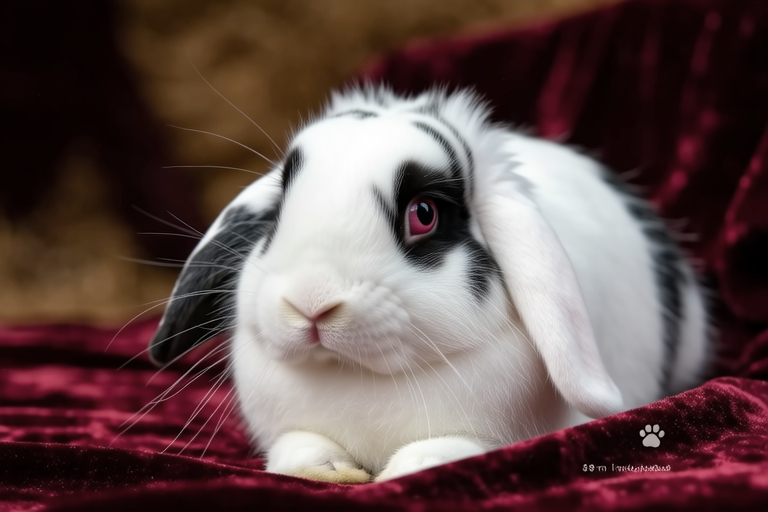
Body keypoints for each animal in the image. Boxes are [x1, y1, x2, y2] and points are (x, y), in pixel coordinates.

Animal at [147, 86, 711, 483]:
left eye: (423, 214)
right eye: (280, 209)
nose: (311, 302)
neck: (357, 376)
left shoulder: (484, 434)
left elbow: (446, 451)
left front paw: (404, 471)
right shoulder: (291, 429)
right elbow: (299, 447)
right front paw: (331, 471)